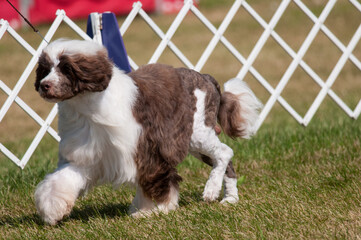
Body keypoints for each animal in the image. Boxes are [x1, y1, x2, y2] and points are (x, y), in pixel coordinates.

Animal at [33, 39, 262, 225]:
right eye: (45, 69)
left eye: (66, 68)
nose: (44, 86)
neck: (87, 106)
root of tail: (206, 78)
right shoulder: (88, 154)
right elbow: (62, 179)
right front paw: (52, 210)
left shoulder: (147, 148)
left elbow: (154, 181)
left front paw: (157, 210)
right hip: (190, 142)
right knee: (226, 161)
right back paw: (230, 198)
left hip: (198, 133)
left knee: (224, 152)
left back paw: (211, 190)